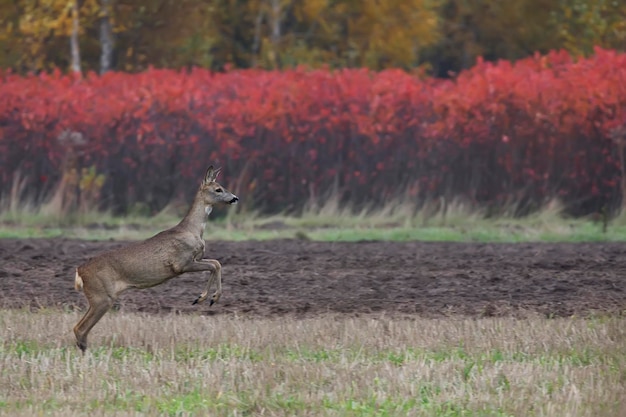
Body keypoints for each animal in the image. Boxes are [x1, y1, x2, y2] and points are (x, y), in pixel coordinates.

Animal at [73, 166, 238, 352]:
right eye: (218, 189)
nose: (235, 198)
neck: (193, 231)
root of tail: (80, 272)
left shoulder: (193, 260)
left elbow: (216, 263)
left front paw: (205, 298)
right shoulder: (181, 263)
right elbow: (214, 265)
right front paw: (207, 298)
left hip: (98, 297)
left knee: (78, 328)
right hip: (101, 296)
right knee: (80, 328)